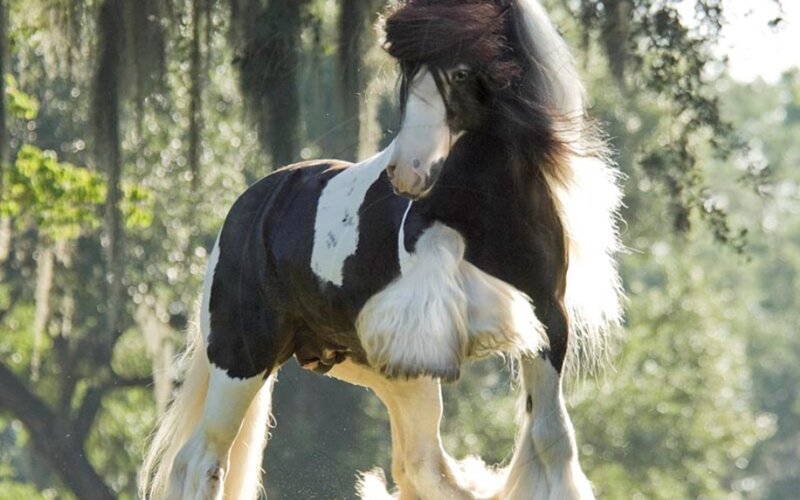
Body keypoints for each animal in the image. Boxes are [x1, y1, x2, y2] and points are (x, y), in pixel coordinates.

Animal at [139, 0, 623, 498]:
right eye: (408, 70)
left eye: (462, 71)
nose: (407, 172)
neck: (494, 206)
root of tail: (248, 207)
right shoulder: (426, 310)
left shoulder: (549, 320)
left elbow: (551, 438)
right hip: (243, 357)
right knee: (201, 459)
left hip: (379, 369)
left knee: (418, 463)